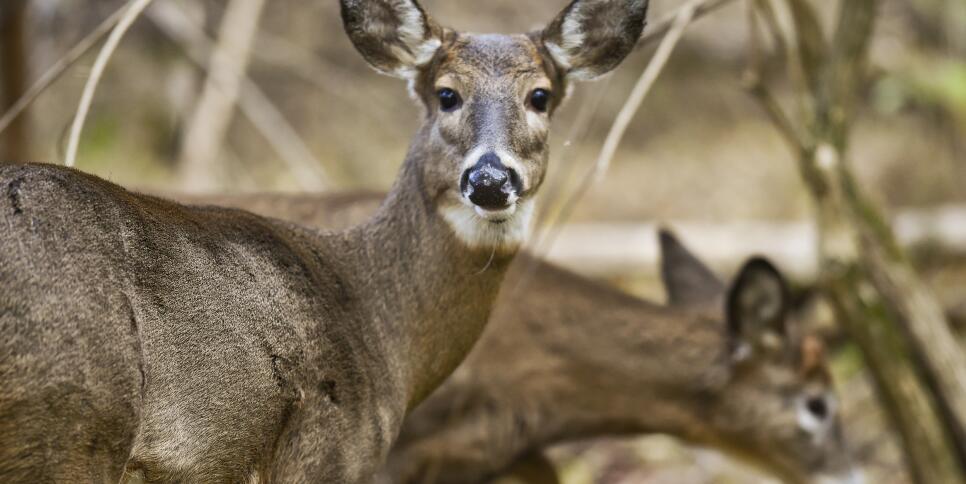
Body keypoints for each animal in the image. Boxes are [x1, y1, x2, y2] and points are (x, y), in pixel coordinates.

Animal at [0, 1, 650, 482]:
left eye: (540, 96)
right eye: (447, 93)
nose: (489, 180)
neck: (376, 322)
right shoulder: (325, 454)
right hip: (69, 423)